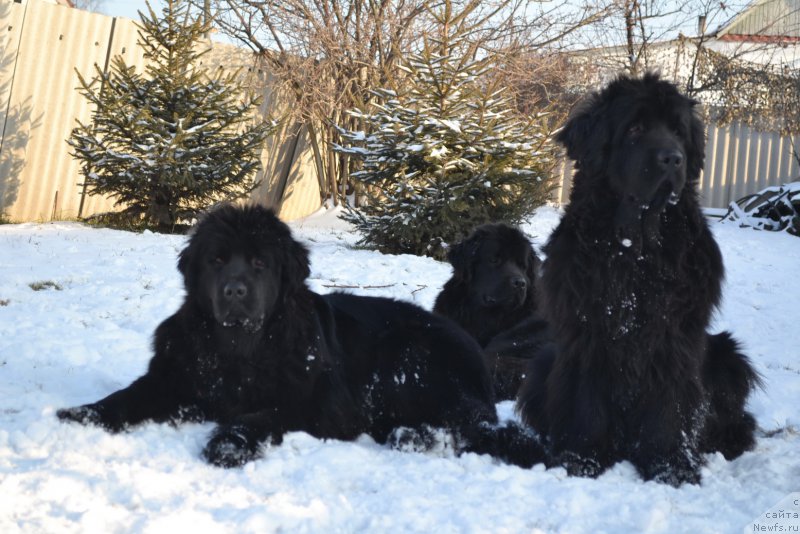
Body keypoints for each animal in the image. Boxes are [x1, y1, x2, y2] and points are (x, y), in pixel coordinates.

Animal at [516, 73, 760, 488]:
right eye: (635, 129)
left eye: (678, 132)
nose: (673, 159)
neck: (637, 249)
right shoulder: (587, 334)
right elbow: (586, 405)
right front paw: (582, 460)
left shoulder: (674, 337)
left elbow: (669, 409)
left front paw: (671, 468)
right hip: (543, 364)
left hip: (727, 356)